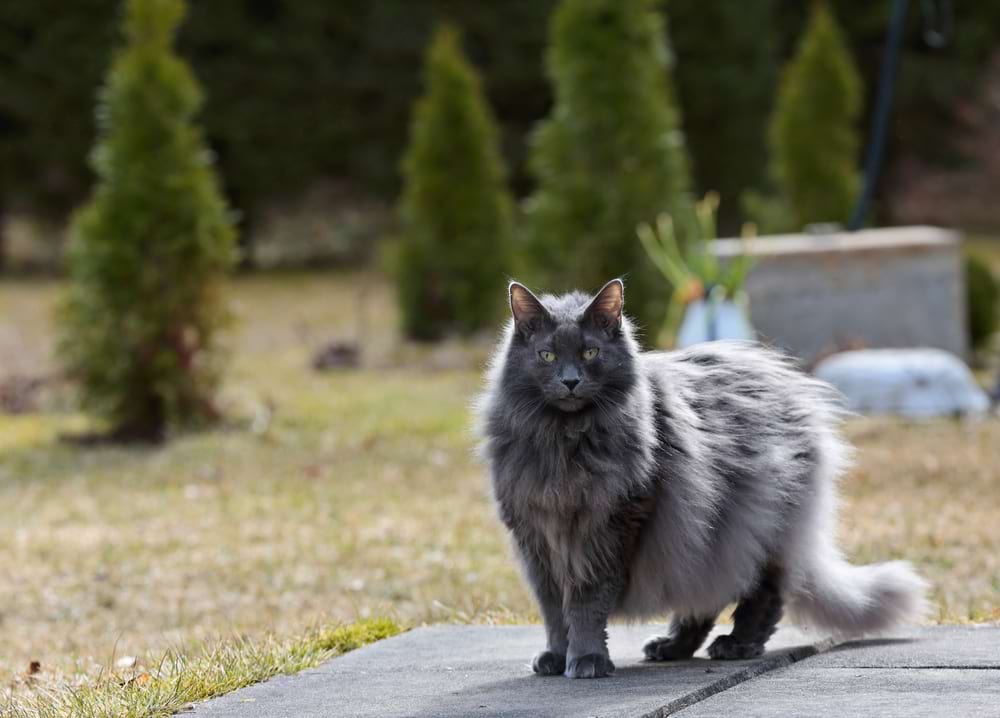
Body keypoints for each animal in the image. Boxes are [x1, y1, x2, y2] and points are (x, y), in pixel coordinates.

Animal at [472, 280, 924, 680]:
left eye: (590, 352)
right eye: (547, 355)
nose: (569, 381)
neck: (564, 441)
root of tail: (789, 386)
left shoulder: (609, 531)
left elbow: (585, 606)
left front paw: (586, 661)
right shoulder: (537, 540)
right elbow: (553, 611)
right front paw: (556, 656)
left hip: (752, 528)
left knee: (763, 594)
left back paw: (737, 645)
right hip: (704, 538)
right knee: (704, 603)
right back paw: (671, 648)